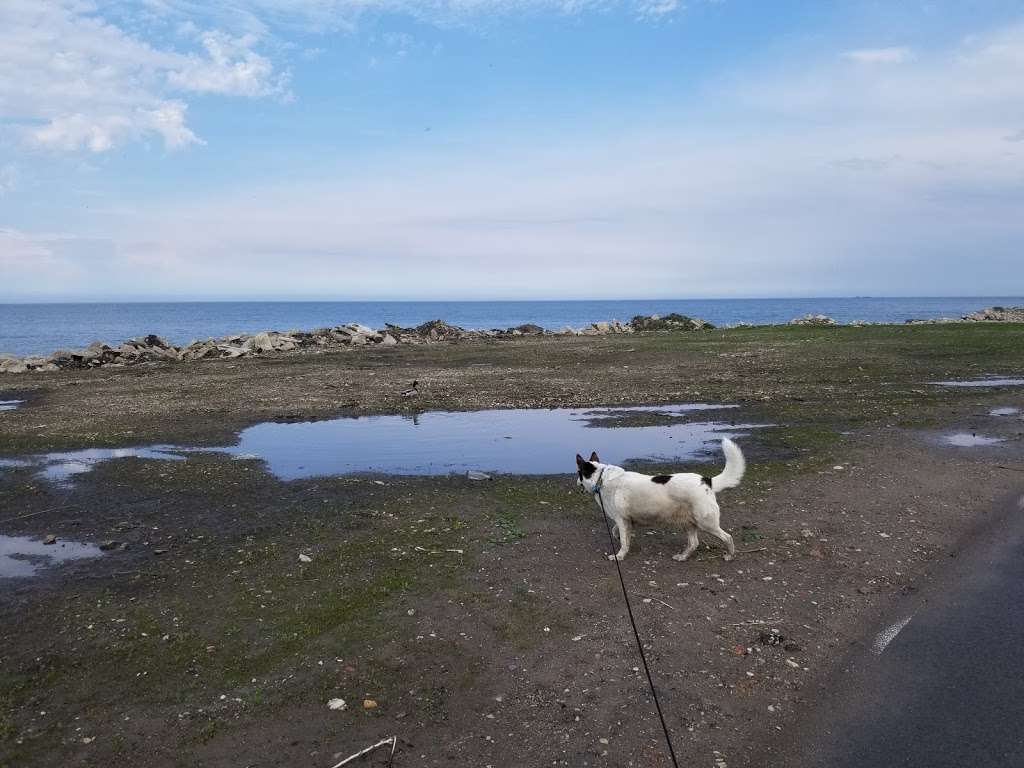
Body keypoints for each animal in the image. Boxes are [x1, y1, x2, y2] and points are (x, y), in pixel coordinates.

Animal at [577, 442, 745, 561]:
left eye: (578, 474)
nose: (576, 483)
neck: (601, 478)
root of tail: (707, 481)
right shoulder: (625, 521)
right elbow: (616, 532)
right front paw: (618, 539)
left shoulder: (621, 519)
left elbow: (623, 541)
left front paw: (620, 555)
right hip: (688, 523)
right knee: (693, 543)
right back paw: (682, 556)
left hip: (706, 523)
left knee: (727, 537)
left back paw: (730, 555)